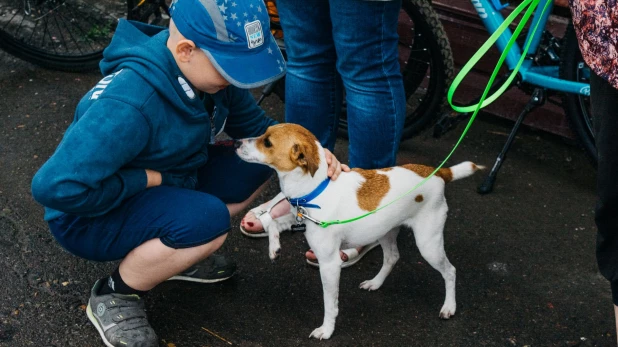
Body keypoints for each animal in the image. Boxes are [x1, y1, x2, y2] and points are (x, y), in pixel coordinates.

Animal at [236, 124, 482, 340]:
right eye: (264, 134)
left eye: (267, 142)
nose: (236, 142)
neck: (315, 189)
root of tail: (437, 172)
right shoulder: (298, 217)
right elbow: (272, 221)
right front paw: (274, 247)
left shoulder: (330, 265)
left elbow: (330, 304)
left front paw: (327, 330)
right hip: (385, 231)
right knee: (392, 257)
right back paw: (376, 283)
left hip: (428, 244)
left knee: (450, 271)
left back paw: (449, 306)